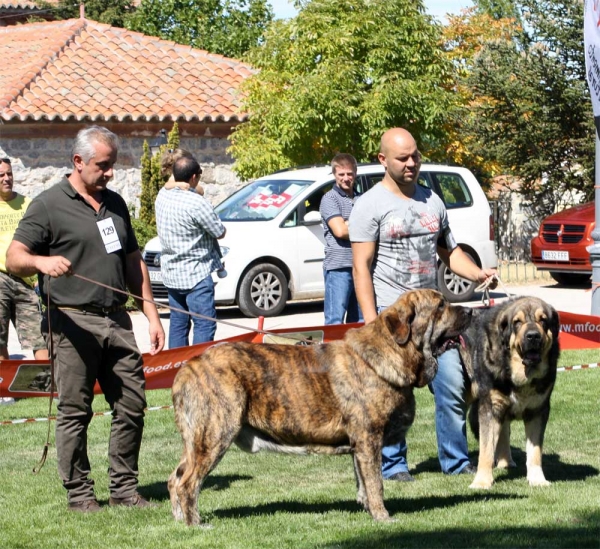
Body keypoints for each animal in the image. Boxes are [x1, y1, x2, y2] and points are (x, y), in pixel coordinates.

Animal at [169, 288, 474, 524]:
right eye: (440, 305)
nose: (471, 312)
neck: (393, 352)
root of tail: (190, 365)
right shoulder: (369, 439)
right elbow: (376, 483)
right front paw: (383, 517)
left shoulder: (359, 446)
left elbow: (363, 482)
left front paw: (367, 510)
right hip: (214, 435)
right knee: (188, 483)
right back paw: (196, 524)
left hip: (196, 442)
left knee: (175, 477)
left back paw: (179, 521)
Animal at [460, 296, 564, 488]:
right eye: (517, 322)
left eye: (543, 320)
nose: (533, 336)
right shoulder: (490, 408)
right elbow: (486, 449)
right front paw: (482, 481)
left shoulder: (538, 411)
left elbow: (535, 451)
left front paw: (537, 479)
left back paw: (505, 461)